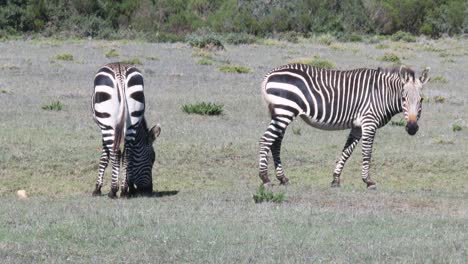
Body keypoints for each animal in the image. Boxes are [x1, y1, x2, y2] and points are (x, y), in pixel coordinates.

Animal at [91, 62, 161, 198]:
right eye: (152, 158)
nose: (148, 190)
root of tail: (121, 74)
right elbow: (130, 158)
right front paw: (130, 187)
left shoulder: (103, 129)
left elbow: (104, 158)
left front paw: (97, 188)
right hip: (133, 119)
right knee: (127, 154)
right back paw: (123, 190)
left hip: (107, 123)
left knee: (116, 153)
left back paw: (113, 190)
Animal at [258, 63, 430, 188]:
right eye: (403, 98)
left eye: (421, 99)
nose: (412, 128)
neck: (382, 94)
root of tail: (269, 74)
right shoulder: (369, 122)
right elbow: (367, 152)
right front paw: (368, 181)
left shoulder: (357, 126)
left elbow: (346, 152)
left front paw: (335, 179)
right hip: (285, 111)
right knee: (266, 140)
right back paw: (265, 178)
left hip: (280, 113)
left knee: (275, 143)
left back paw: (282, 178)